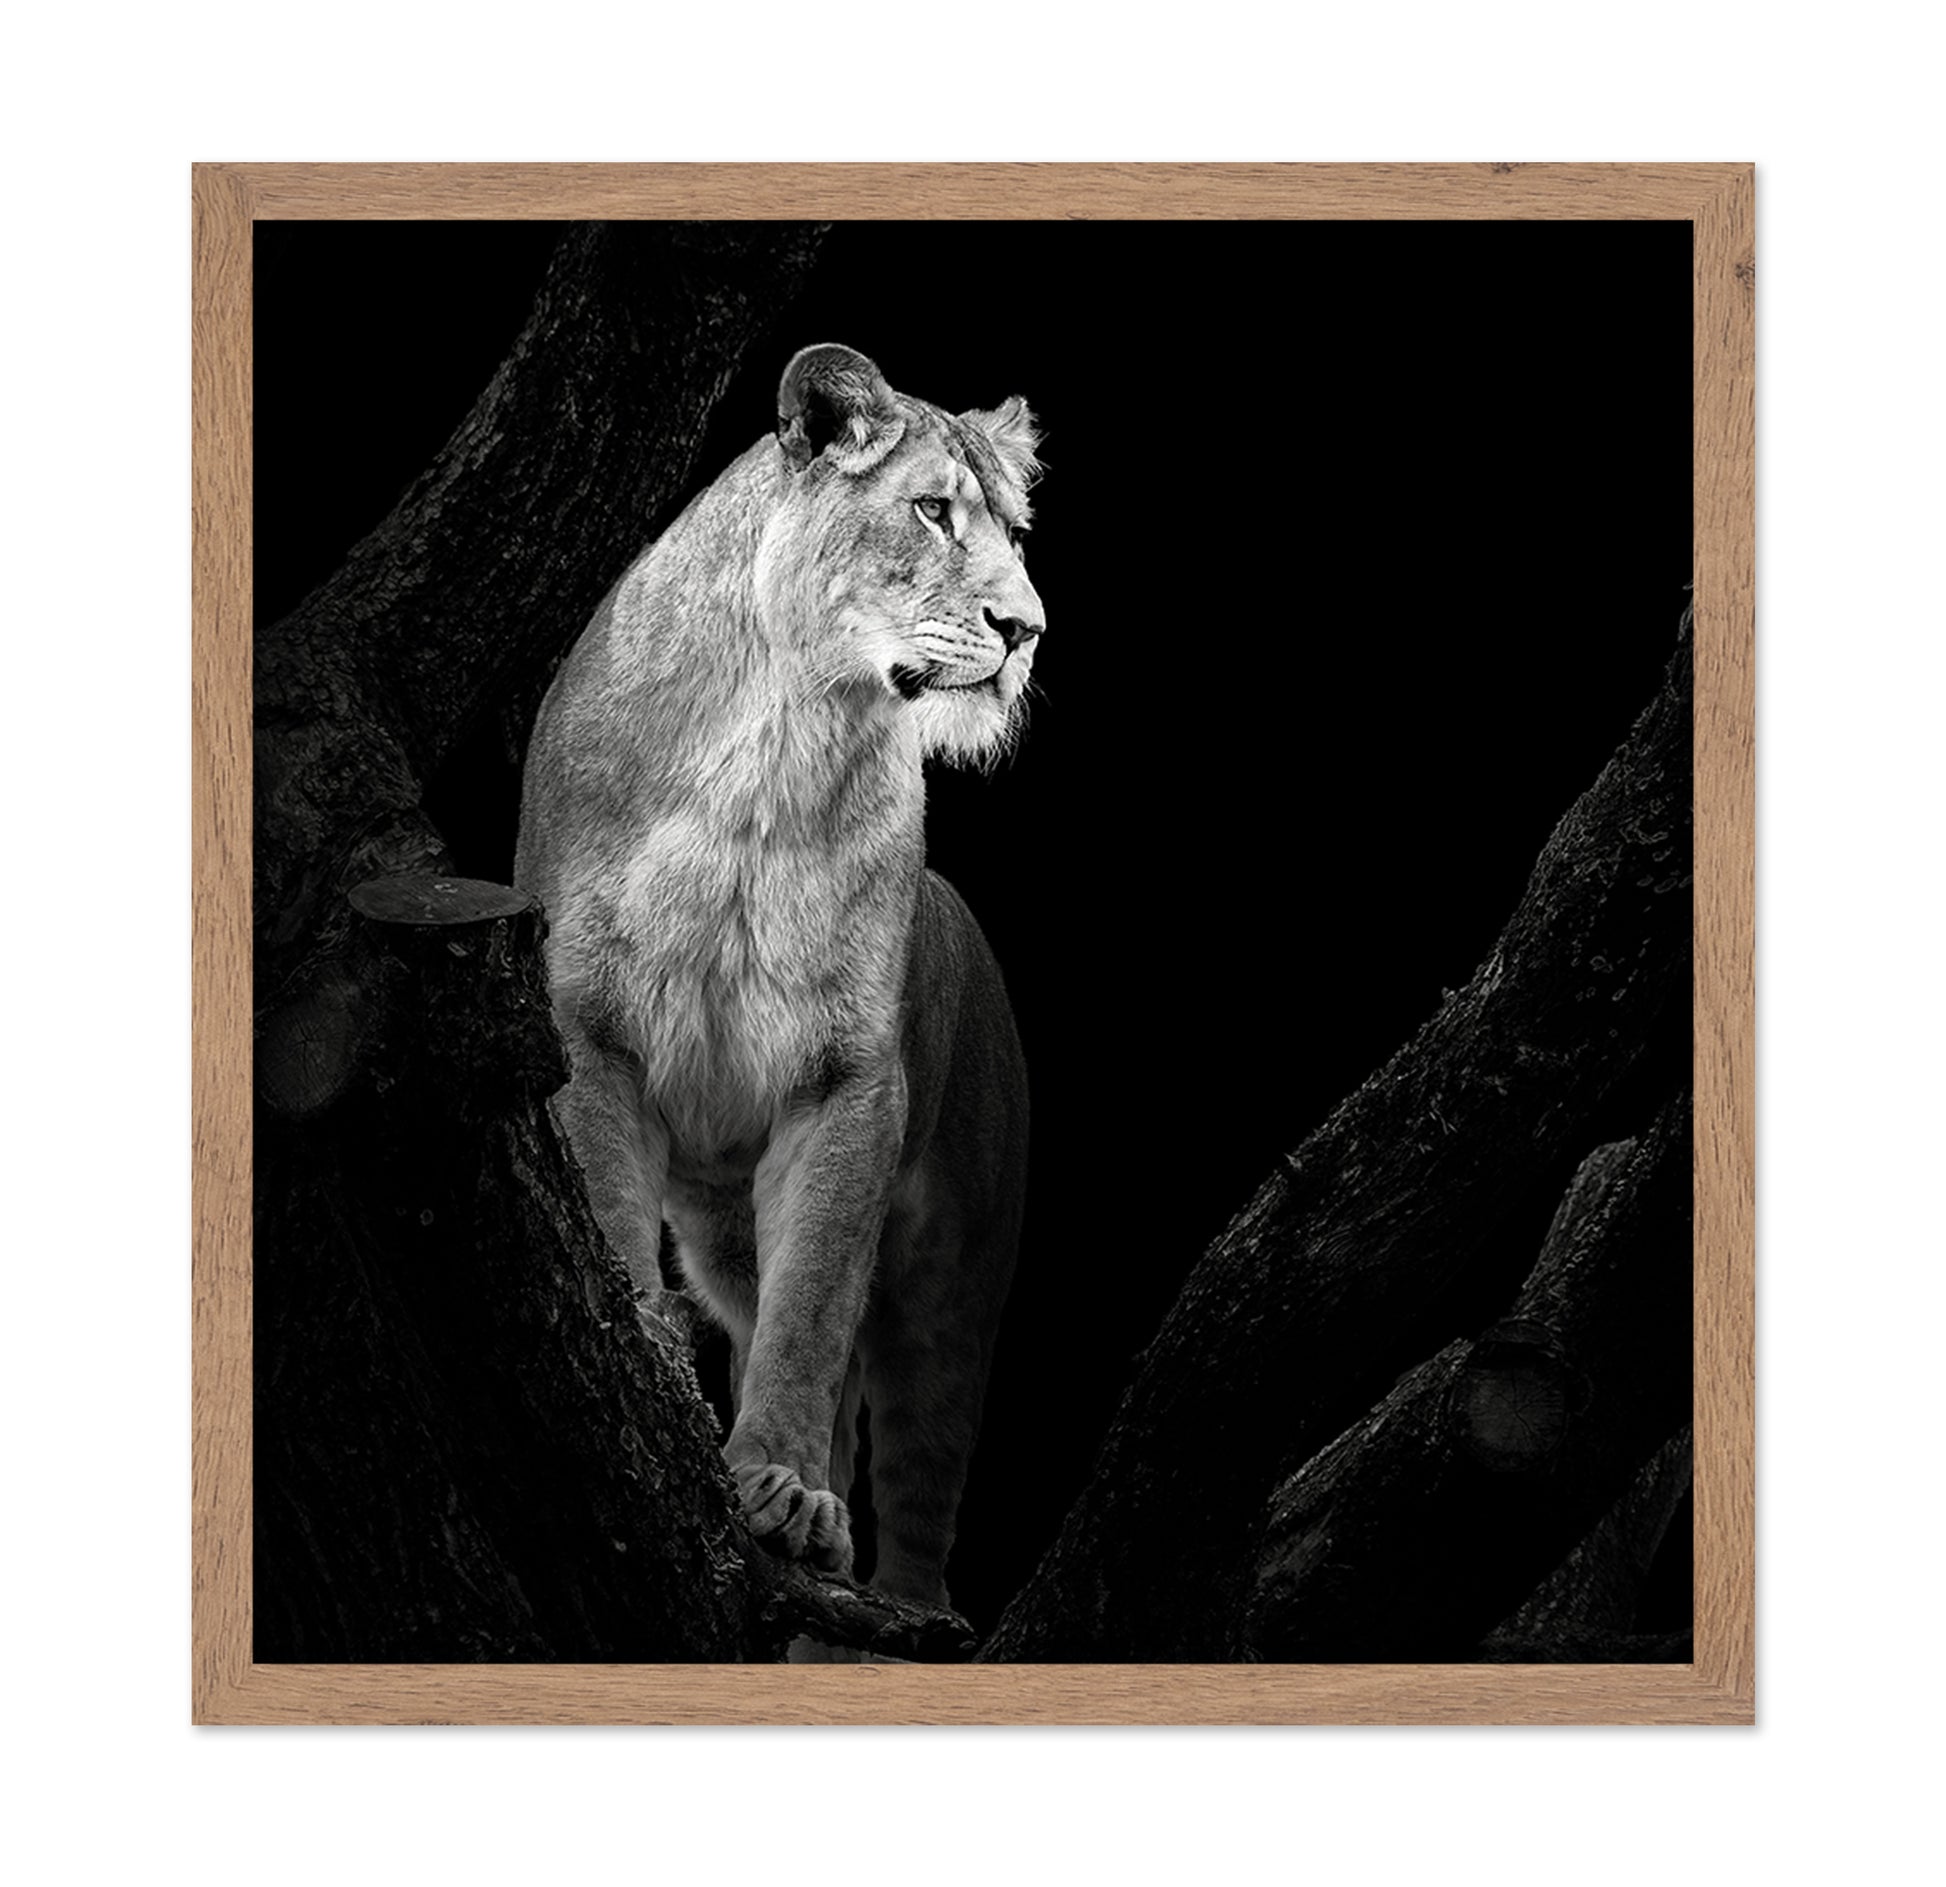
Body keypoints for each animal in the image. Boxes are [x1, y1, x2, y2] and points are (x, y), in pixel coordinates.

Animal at [515, 343, 1044, 1610]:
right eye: (932, 512)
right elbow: (612, 1215)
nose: (1027, 629)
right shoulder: (586, 1026)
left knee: (917, 1475)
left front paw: (788, 1494)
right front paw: (647, 1358)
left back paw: (895, 1607)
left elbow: (811, 1312)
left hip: (962, 1274)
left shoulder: (848, 1082)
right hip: (721, 1232)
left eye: (1015, 530)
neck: (781, 737)